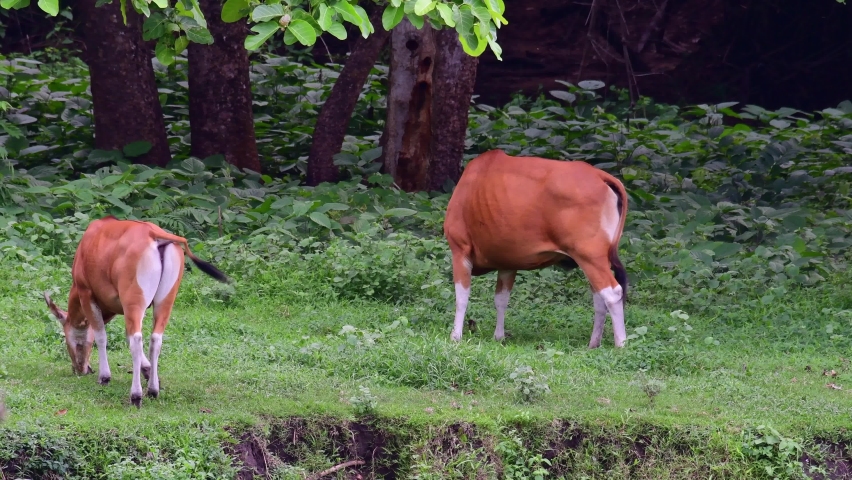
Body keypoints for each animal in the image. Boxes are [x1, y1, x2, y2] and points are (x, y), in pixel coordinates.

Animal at [43, 216, 231, 407]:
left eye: (67, 339)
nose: (80, 369)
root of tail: (154, 233)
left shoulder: (87, 293)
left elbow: (101, 336)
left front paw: (104, 377)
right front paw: (149, 372)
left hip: (134, 300)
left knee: (136, 340)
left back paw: (136, 395)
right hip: (165, 300)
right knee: (155, 339)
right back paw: (153, 390)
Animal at [443, 150, 629, 348]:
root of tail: (600, 175)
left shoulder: (460, 250)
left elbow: (461, 297)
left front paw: (455, 336)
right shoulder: (507, 264)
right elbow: (501, 300)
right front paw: (499, 337)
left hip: (589, 256)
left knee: (612, 293)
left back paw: (621, 344)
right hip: (595, 259)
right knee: (599, 298)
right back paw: (593, 344)